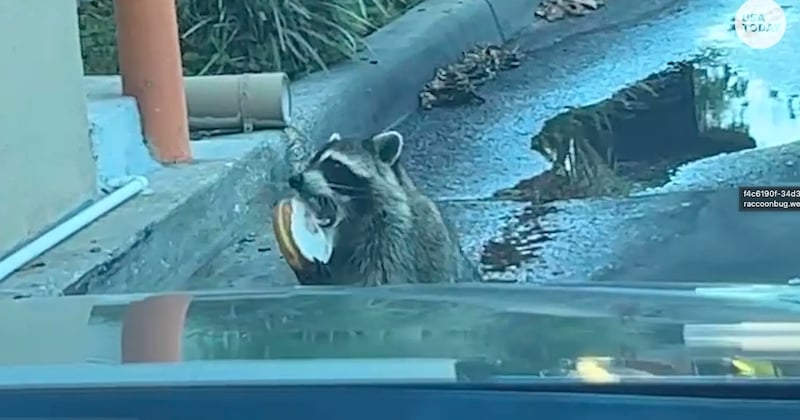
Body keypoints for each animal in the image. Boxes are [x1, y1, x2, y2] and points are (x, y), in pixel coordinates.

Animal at [286, 129, 482, 286]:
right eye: (312, 160)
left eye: (335, 165)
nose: (295, 180)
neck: (353, 220)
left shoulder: (395, 238)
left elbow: (383, 279)